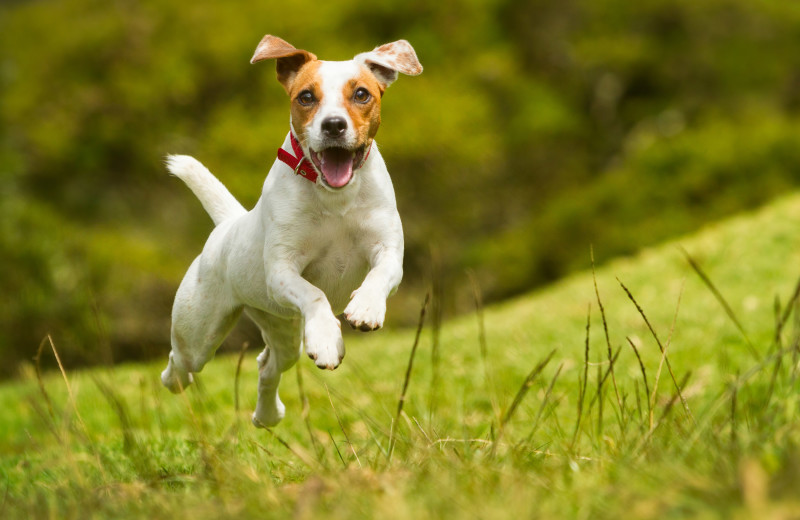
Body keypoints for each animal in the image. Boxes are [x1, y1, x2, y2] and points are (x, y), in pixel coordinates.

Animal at [159, 35, 422, 426]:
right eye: (306, 97)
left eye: (361, 94)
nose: (333, 125)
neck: (334, 197)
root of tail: (228, 224)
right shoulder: (282, 271)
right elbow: (315, 294)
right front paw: (327, 338)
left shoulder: (388, 250)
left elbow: (380, 275)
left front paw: (366, 308)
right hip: (199, 331)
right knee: (181, 363)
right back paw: (176, 380)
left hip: (281, 327)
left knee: (267, 365)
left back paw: (267, 415)